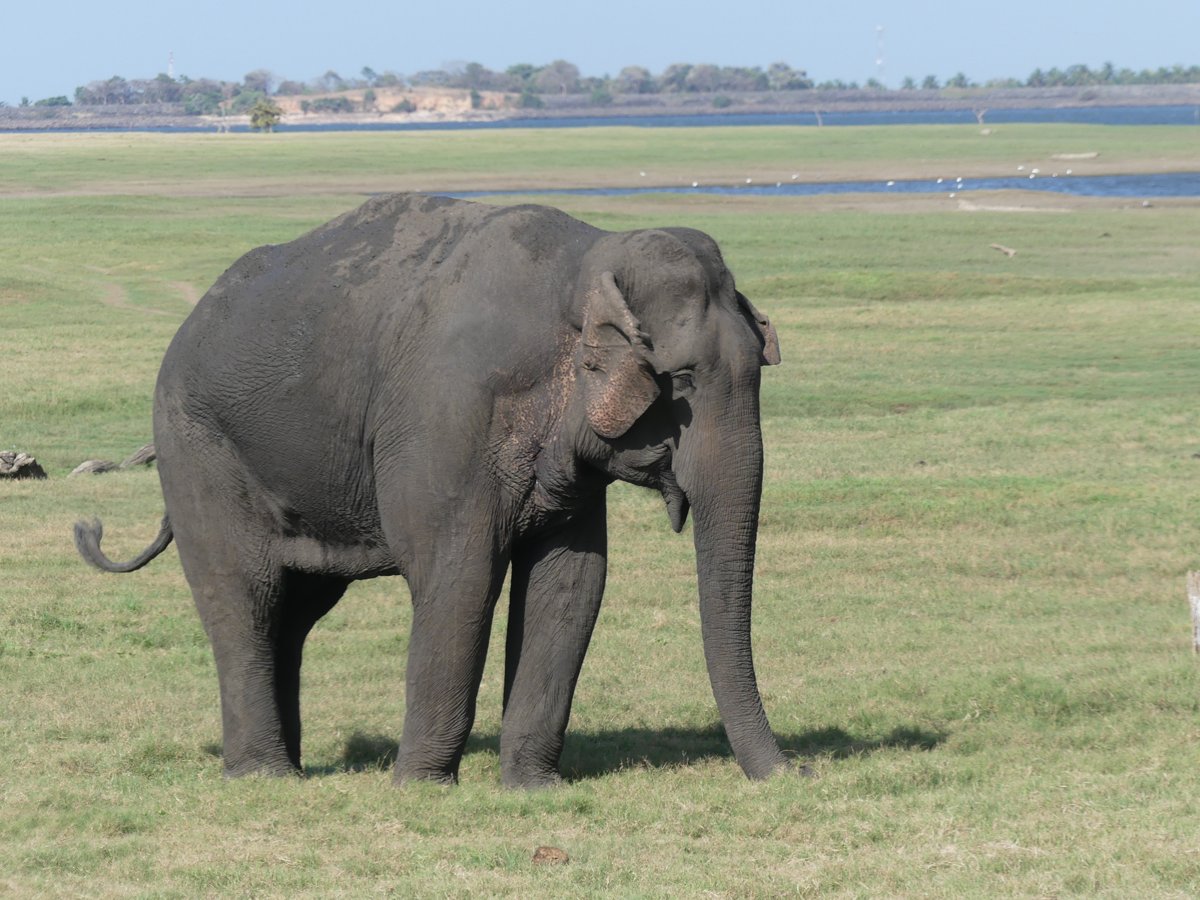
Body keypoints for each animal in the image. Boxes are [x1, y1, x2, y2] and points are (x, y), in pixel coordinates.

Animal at [75, 193, 788, 787]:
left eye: (760, 369)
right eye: (682, 380)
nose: (794, 774)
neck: (586, 257)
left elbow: (572, 583)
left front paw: (533, 788)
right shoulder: (445, 420)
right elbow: (458, 576)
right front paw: (420, 787)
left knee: (295, 611)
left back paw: (295, 768)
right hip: (198, 450)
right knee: (242, 597)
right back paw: (263, 777)